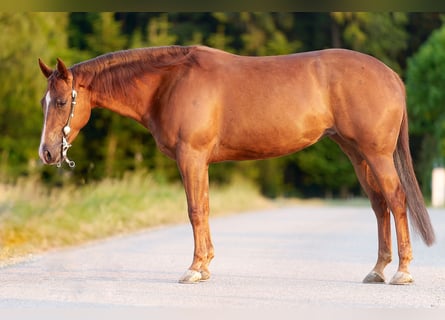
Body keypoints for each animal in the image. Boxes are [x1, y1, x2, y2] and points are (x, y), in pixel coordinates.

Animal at [37, 45, 434, 284]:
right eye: (44, 101)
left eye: (62, 102)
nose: (48, 153)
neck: (169, 82)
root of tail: (391, 76)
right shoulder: (200, 162)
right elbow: (205, 207)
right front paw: (205, 265)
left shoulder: (191, 157)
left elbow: (195, 210)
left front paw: (193, 269)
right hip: (356, 153)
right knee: (379, 205)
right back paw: (378, 270)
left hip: (376, 154)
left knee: (396, 201)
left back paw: (402, 271)